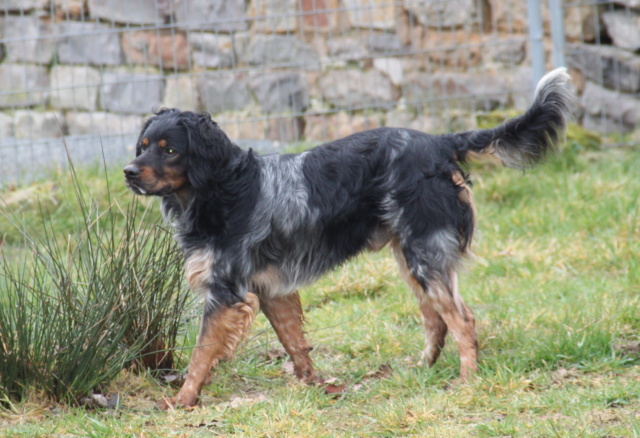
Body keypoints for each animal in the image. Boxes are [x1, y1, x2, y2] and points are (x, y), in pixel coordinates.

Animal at [124, 67, 568, 408]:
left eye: (169, 150)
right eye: (142, 146)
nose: (129, 172)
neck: (222, 190)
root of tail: (440, 141)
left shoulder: (226, 293)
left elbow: (200, 355)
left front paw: (181, 400)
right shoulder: (271, 290)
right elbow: (295, 343)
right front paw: (313, 386)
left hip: (424, 255)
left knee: (461, 319)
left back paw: (466, 380)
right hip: (413, 258)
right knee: (434, 318)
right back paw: (420, 370)